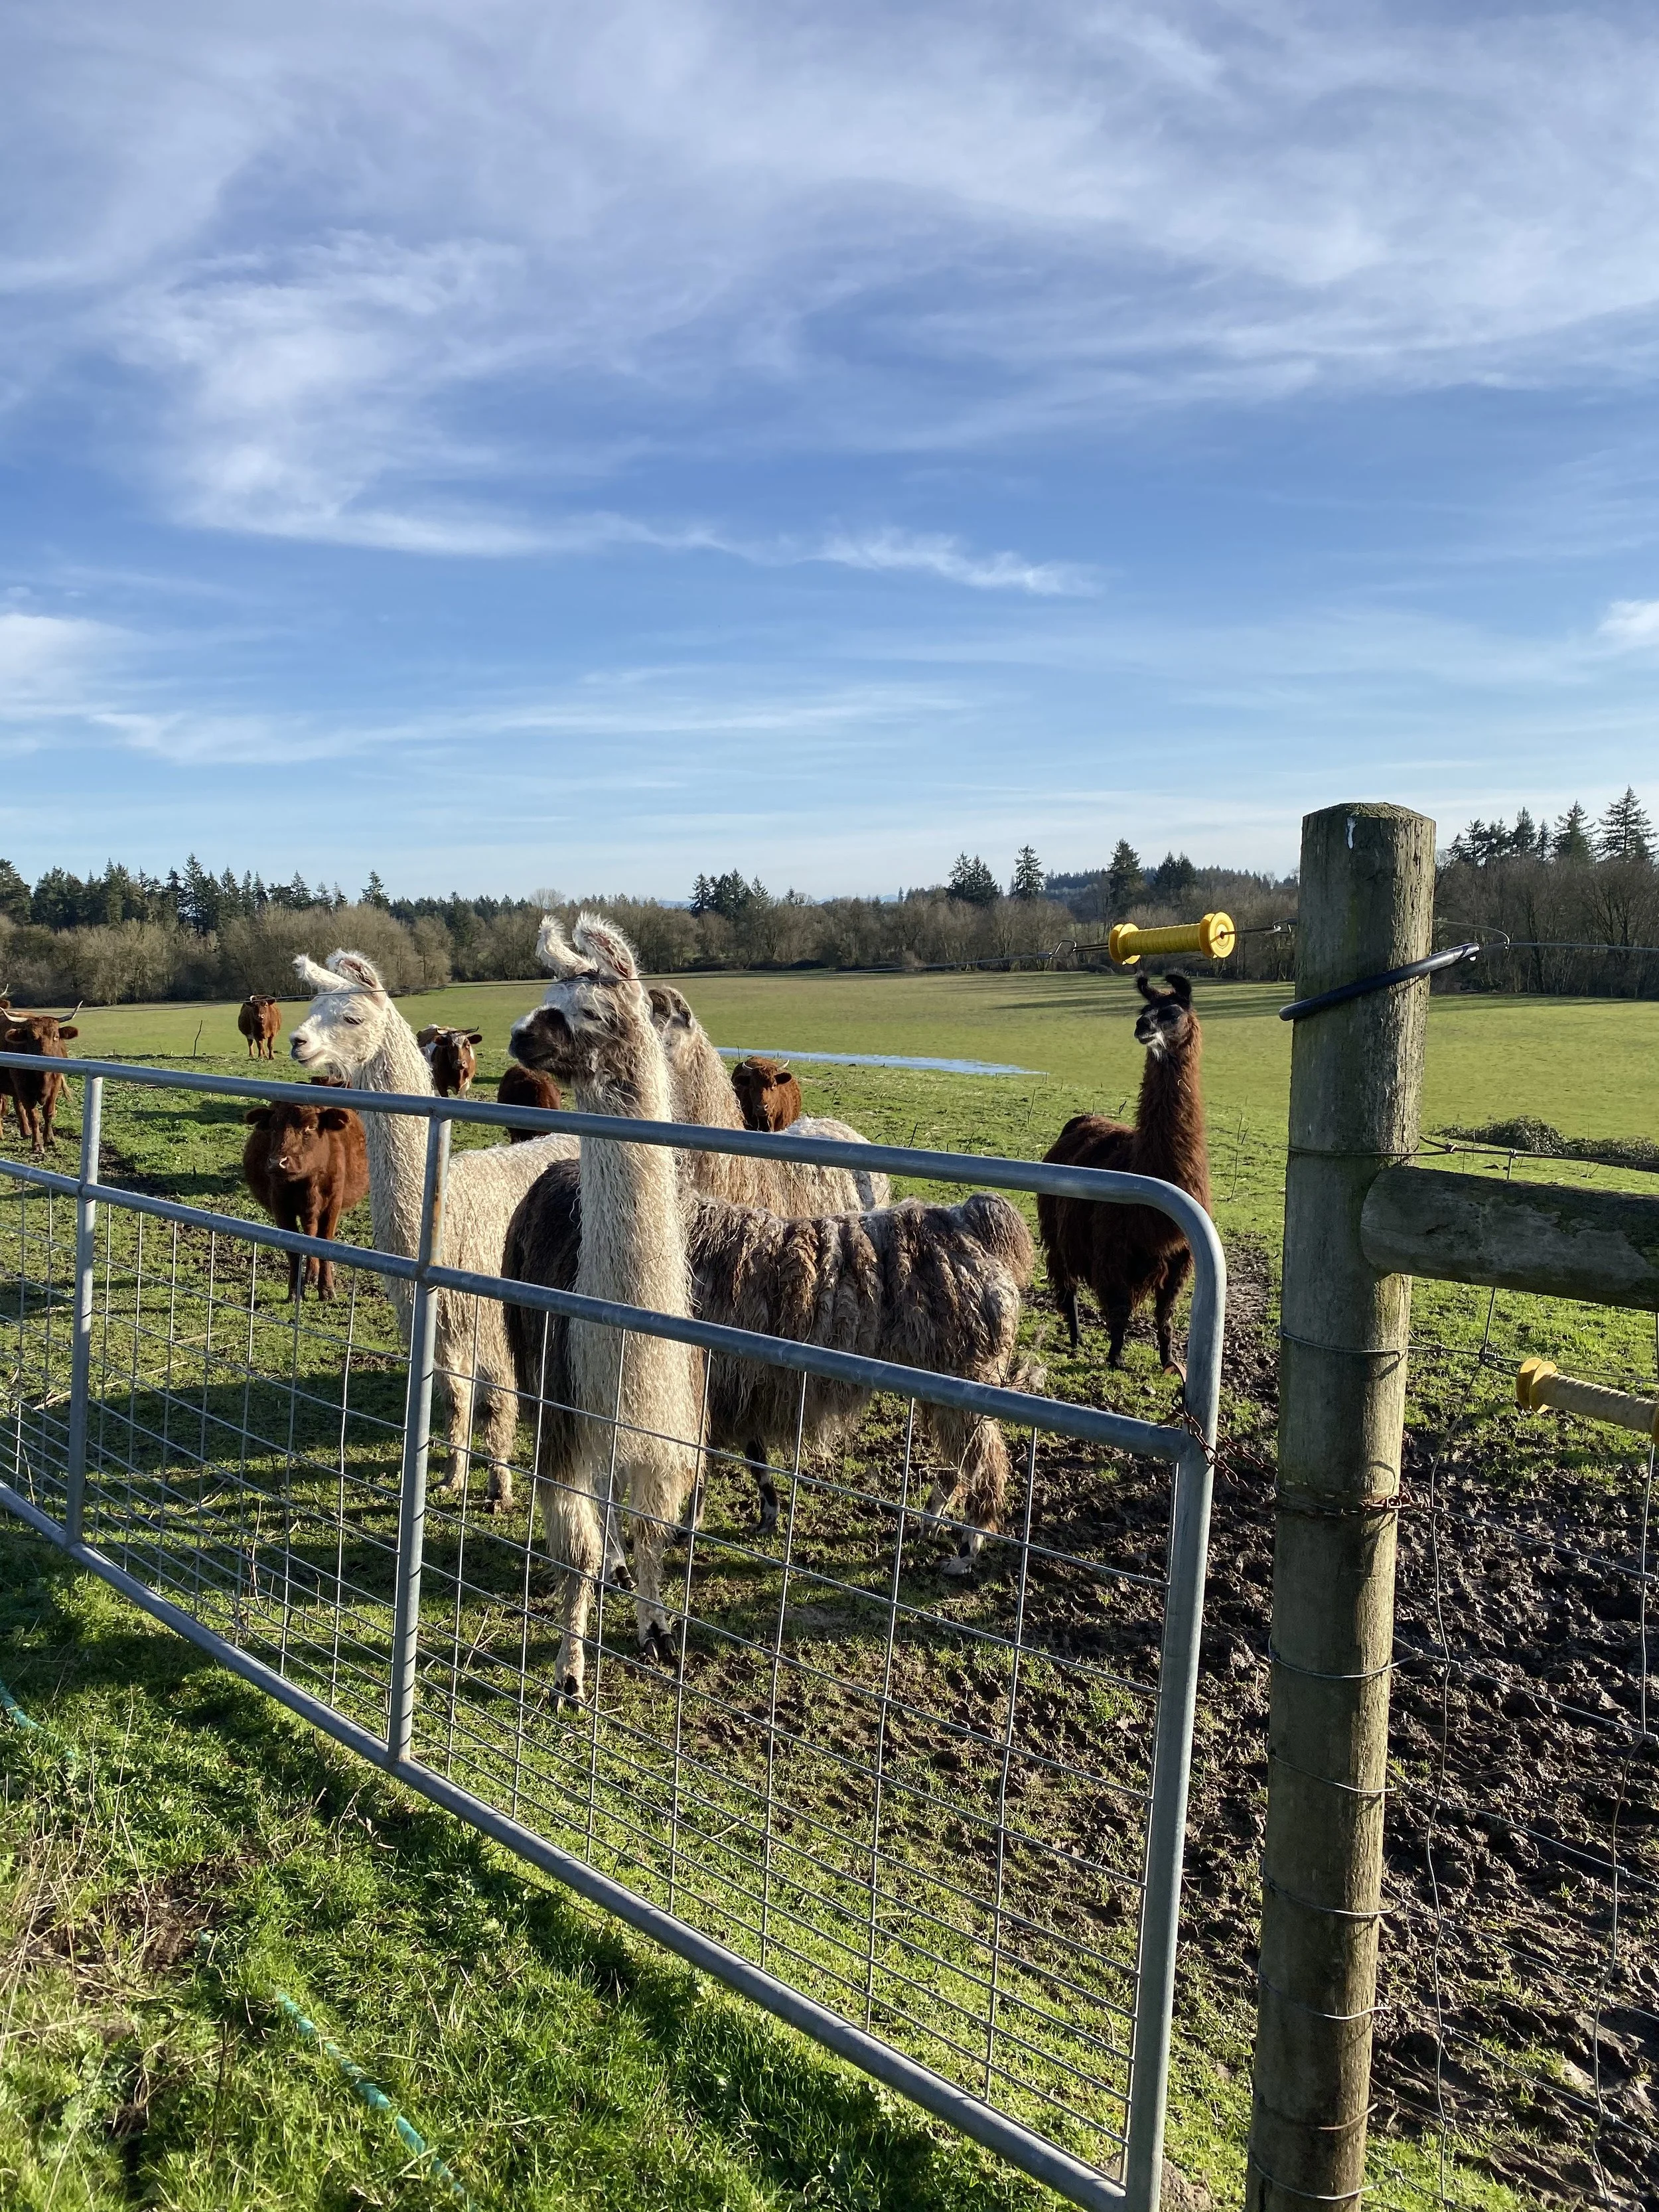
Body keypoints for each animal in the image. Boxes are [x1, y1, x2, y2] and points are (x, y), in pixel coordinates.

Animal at [0, 1010, 81, 1156]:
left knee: (18, 1107)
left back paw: (26, 1133)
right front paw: (37, 1145)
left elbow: (48, 1112)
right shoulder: (23, 1089)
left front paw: (49, 1139)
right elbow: (34, 1116)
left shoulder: (55, 1087)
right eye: (32, 1038)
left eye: (56, 1037)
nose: (46, 1058)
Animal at [241, 1096, 370, 1299]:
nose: (277, 1163)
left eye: (311, 1127)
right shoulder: (281, 1207)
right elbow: (294, 1249)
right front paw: (295, 1291)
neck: (309, 1183)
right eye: (274, 1127)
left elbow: (324, 1242)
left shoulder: (333, 1205)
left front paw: (327, 1290)